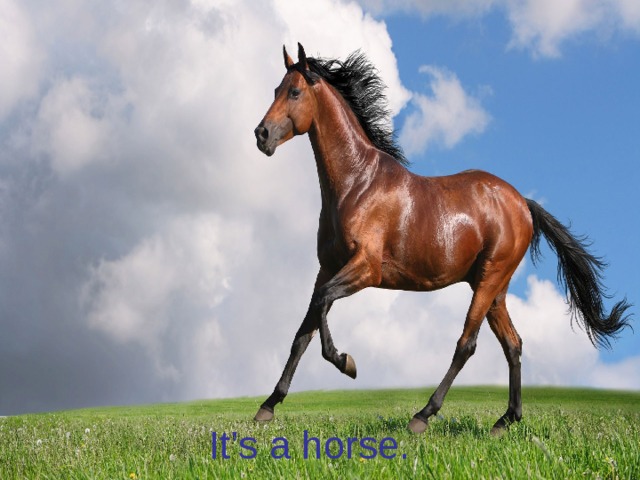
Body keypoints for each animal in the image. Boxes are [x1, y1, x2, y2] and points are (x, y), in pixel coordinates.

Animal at [253, 43, 632, 434]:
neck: (356, 183)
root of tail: (522, 203)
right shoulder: (326, 269)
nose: (261, 134)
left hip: (488, 281)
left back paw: (423, 415)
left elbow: (324, 307)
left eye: (294, 92)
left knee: (467, 344)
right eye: (276, 90)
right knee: (513, 344)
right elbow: (303, 331)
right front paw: (267, 406)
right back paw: (505, 420)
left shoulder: (366, 268)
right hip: (494, 289)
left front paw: (346, 362)